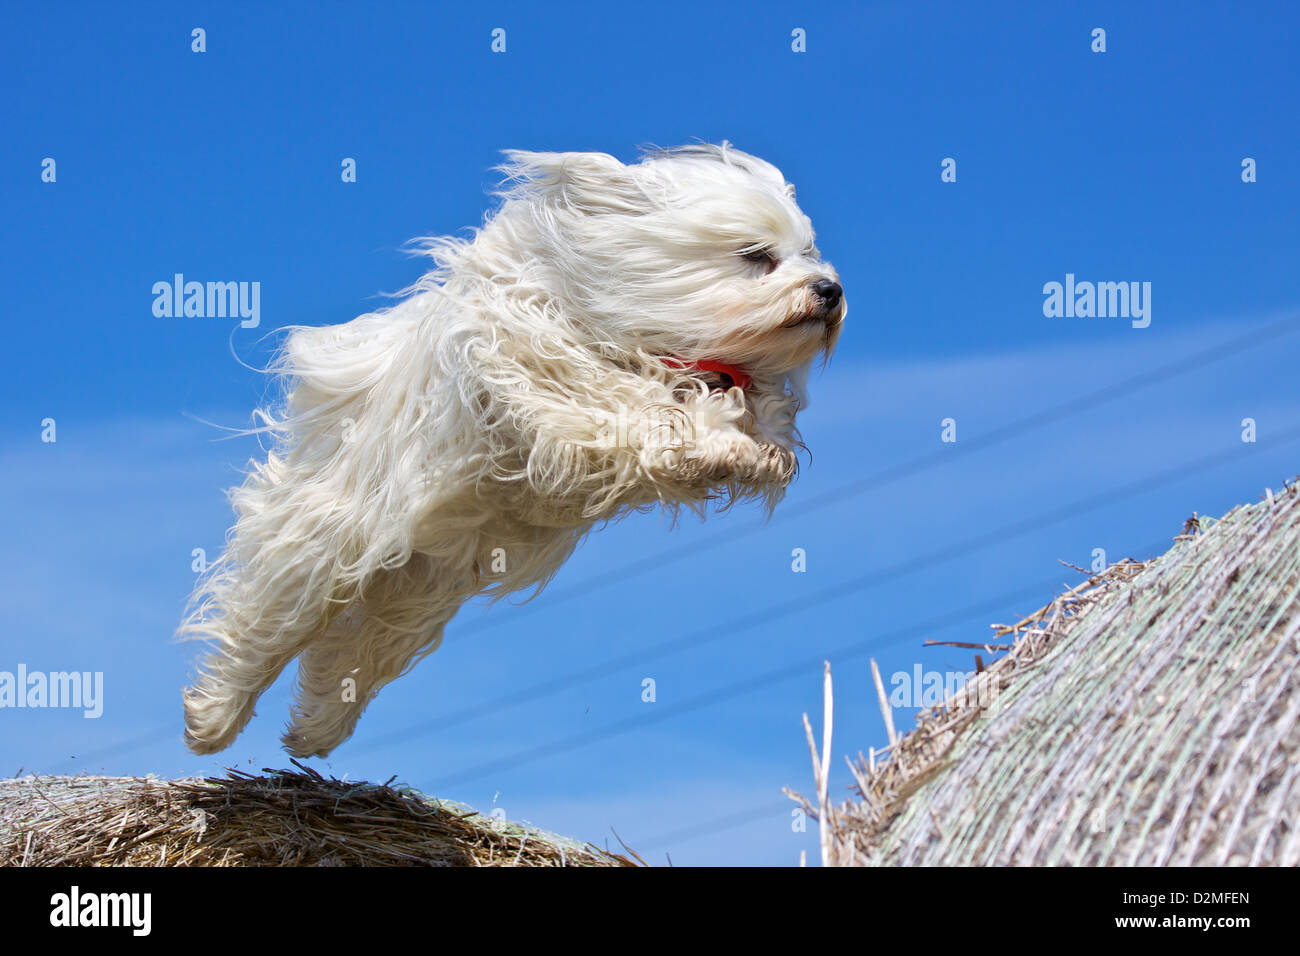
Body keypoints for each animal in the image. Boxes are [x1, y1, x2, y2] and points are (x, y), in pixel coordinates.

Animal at [183, 143, 847, 754]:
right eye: (756, 256)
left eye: (808, 252)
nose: (830, 289)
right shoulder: (539, 366)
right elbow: (627, 402)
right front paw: (718, 437)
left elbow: (750, 412)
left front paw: (760, 447)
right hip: (333, 536)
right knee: (270, 619)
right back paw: (212, 718)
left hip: (415, 585)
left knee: (357, 649)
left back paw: (314, 728)